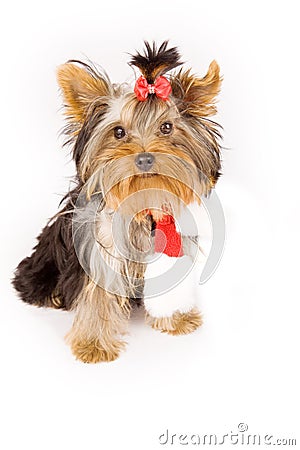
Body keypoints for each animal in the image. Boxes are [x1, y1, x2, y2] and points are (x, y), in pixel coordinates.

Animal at [12, 42, 223, 364]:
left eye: (167, 127)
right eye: (119, 132)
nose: (145, 158)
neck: (142, 201)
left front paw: (174, 319)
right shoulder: (99, 251)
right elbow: (97, 293)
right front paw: (93, 344)